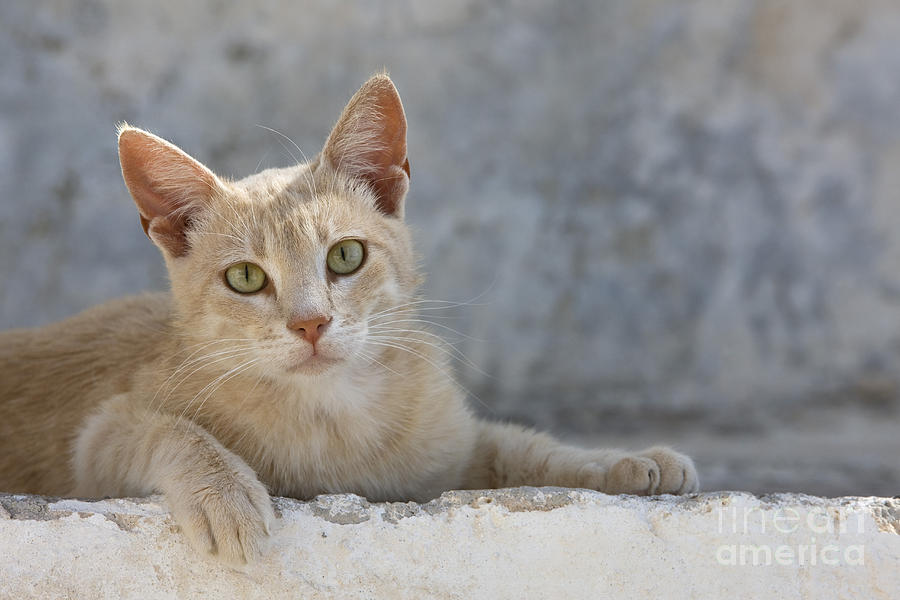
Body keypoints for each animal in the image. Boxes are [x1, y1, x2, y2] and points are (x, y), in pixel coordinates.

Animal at [0, 74, 700, 564]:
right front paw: (226, 495)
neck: (333, 420)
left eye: (345, 255)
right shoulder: (98, 440)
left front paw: (626, 461)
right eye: (246, 278)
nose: (310, 324)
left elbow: (523, 448)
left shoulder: (452, 452)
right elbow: (167, 431)